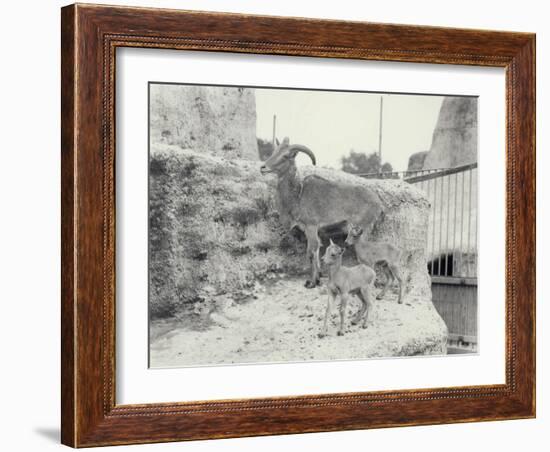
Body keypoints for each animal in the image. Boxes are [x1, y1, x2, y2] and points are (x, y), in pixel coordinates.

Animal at [260, 136, 386, 288]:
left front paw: (312, 282)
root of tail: (379, 204)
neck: (298, 195)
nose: (263, 168)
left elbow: (311, 252)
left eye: (285, 155)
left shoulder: (311, 227)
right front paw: (318, 277)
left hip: (362, 230)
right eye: (274, 152)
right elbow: (317, 252)